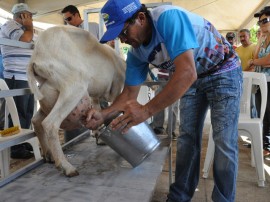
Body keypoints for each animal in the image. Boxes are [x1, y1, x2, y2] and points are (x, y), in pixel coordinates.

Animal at [26, 26, 126, 176]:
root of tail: (36, 57)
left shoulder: (94, 95)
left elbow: (97, 110)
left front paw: (97, 134)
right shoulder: (116, 87)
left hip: (47, 94)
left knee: (36, 120)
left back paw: (48, 155)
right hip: (73, 87)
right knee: (49, 124)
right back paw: (67, 167)